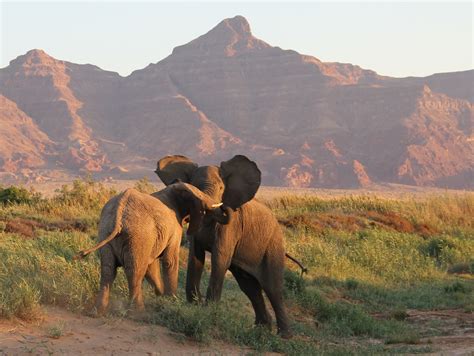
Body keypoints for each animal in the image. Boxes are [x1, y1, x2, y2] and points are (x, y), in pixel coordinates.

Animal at [75, 182, 226, 312]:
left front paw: (162, 298)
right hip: (138, 236)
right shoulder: (174, 228)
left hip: (106, 231)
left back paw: (98, 311)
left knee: (108, 270)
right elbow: (169, 261)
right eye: (200, 195)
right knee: (135, 270)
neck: (172, 189)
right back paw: (138, 312)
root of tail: (119, 210)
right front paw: (172, 302)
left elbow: (151, 266)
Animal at [156, 154, 296, 338]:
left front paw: (208, 311)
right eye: (194, 186)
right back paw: (261, 329)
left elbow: (219, 258)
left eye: (222, 187)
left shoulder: (231, 227)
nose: (224, 206)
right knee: (249, 287)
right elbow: (196, 257)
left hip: (273, 246)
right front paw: (195, 304)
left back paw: (284, 336)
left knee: (273, 288)